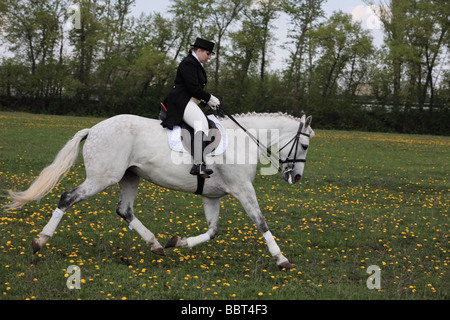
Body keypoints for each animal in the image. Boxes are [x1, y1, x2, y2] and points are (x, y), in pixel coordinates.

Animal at [4, 112, 312, 270]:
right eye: (305, 145)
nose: (296, 177)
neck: (243, 140)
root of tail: (93, 129)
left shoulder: (211, 196)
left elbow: (213, 231)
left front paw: (177, 242)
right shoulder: (242, 189)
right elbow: (261, 222)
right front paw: (281, 259)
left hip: (129, 177)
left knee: (124, 210)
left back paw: (155, 245)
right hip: (104, 177)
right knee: (67, 198)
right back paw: (40, 241)